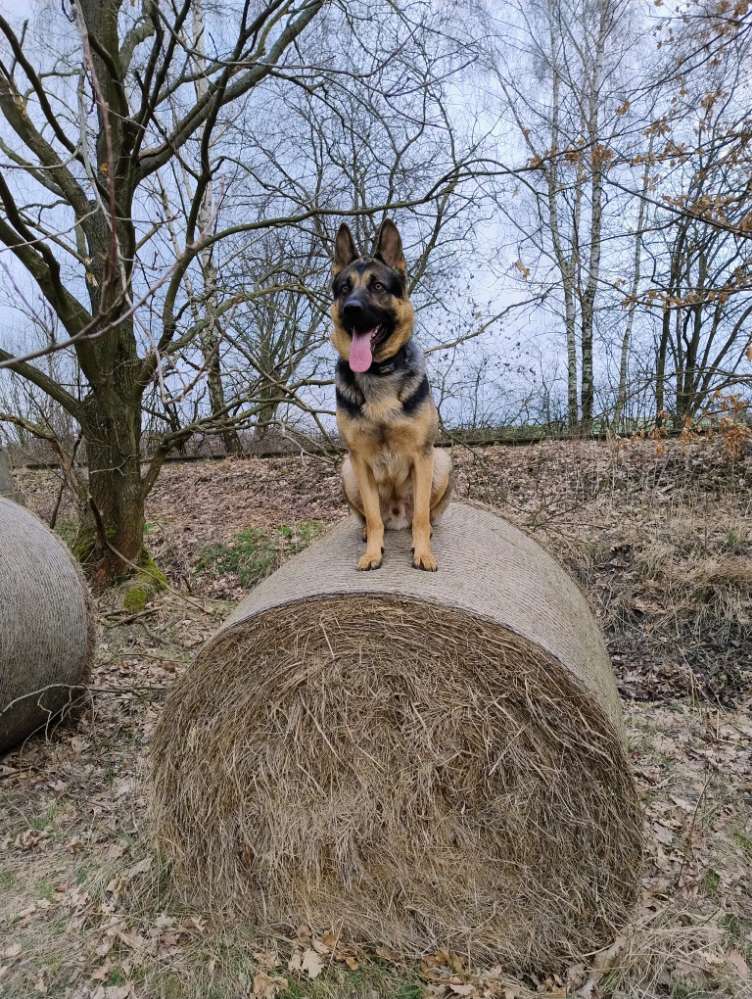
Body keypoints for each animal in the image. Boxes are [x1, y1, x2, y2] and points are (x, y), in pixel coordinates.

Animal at [330, 222, 450, 576]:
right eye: (344, 289)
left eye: (378, 286)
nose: (351, 310)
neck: (377, 373)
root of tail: (397, 518)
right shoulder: (359, 459)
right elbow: (372, 517)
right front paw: (373, 552)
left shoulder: (422, 454)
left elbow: (422, 515)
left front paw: (422, 553)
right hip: (347, 471)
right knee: (372, 520)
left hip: (442, 461)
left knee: (423, 516)